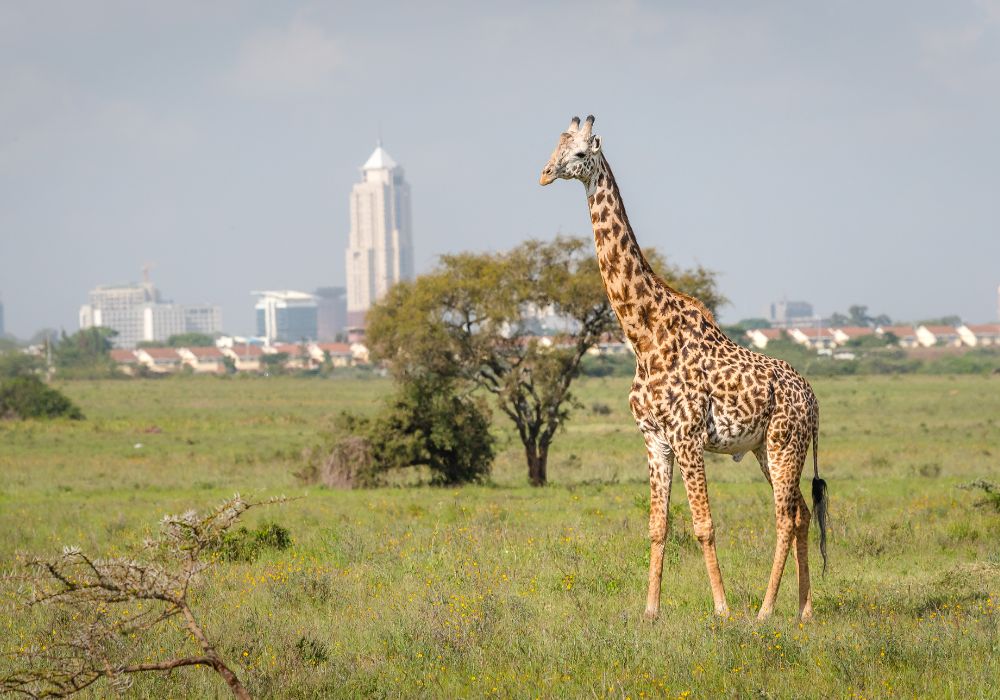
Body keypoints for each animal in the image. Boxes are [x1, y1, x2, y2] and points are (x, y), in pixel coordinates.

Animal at [540, 116, 828, 624]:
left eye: (579, 153)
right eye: (556, 146)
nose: (545, 174)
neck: (644, 335)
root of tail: (813, 400)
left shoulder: (688, 436)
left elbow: (703, 525)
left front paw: (722, 610)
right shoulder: (655, 439)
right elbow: (658, 526)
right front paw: (650, 611)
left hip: (784, 444)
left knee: (784, 517)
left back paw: (765, 611)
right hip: (764, 449)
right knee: (801, 515)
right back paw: (804, 610)